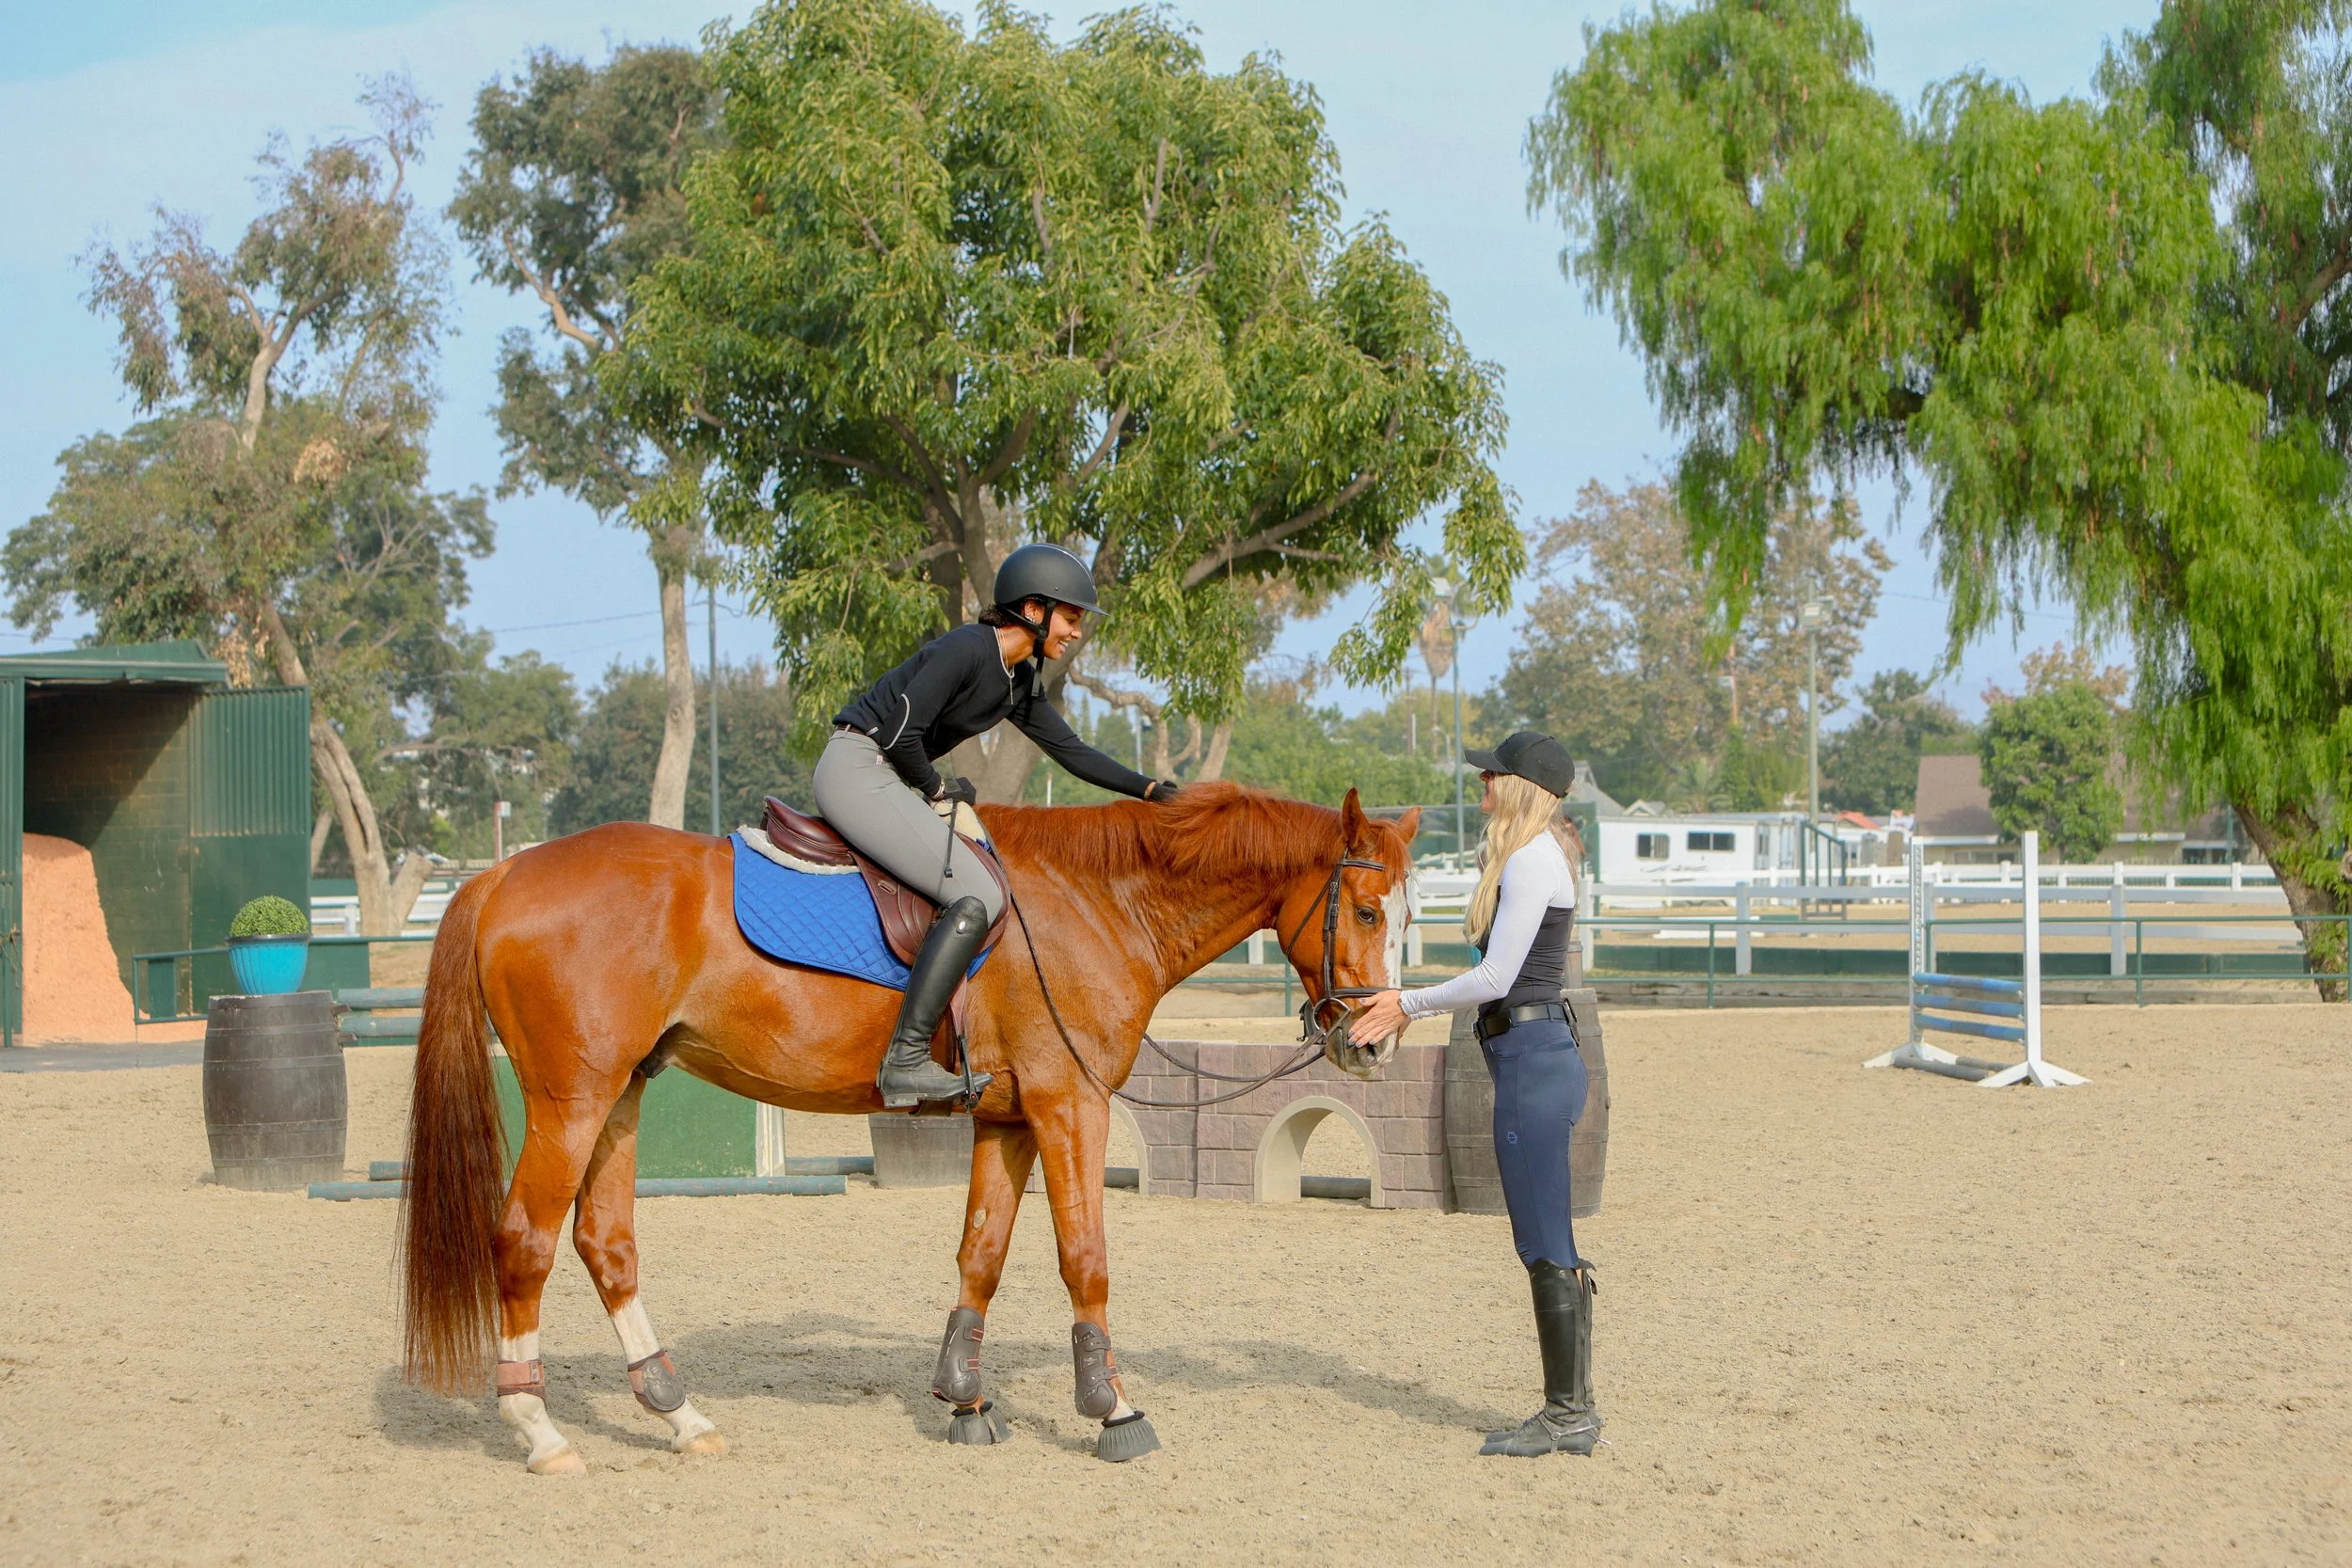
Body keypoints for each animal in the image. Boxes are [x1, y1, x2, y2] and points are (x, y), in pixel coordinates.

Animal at [400, 782, 1420, 1472]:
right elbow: (1083, 1255)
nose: (1375, 1043)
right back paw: (539, 1430)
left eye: (1410, 917)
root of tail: (503, 873)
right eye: (1369, 910)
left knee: (605, 1242)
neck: (1096, 897)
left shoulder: (1010, 1119)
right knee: (523, 1242)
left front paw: (965, 1400)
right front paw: (1112, 1408)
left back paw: (677, 1413)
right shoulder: (1069, 1105)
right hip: (571, 1102)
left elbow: (982, 1252)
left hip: (618, 1096)